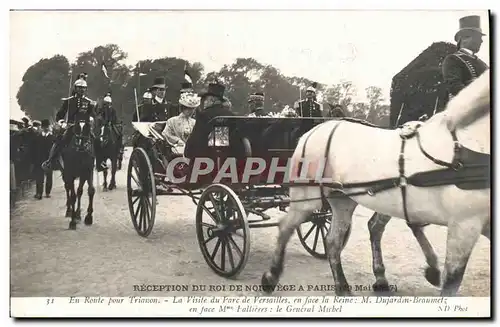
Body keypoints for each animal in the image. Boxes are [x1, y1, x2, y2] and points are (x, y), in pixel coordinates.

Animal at [264, 71, 490, 298]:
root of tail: (313, 130)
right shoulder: (464, 224)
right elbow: (451, 282)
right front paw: (433, 271)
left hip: (344, 200)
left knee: (334, 240)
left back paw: (344, 286)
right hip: (307, 197)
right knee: (286, 226)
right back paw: (271, 276)